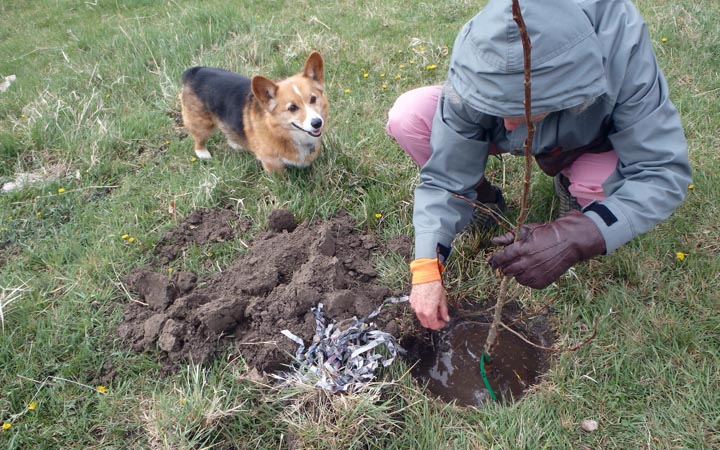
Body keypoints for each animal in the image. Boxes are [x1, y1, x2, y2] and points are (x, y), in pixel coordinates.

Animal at [180, 51, 330, 174]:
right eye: (292, 107)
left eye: (313, 99)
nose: (317, 123)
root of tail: (193, 72)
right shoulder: (271, 162)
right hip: (201, 124)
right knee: (199, 139)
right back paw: (203, 153)